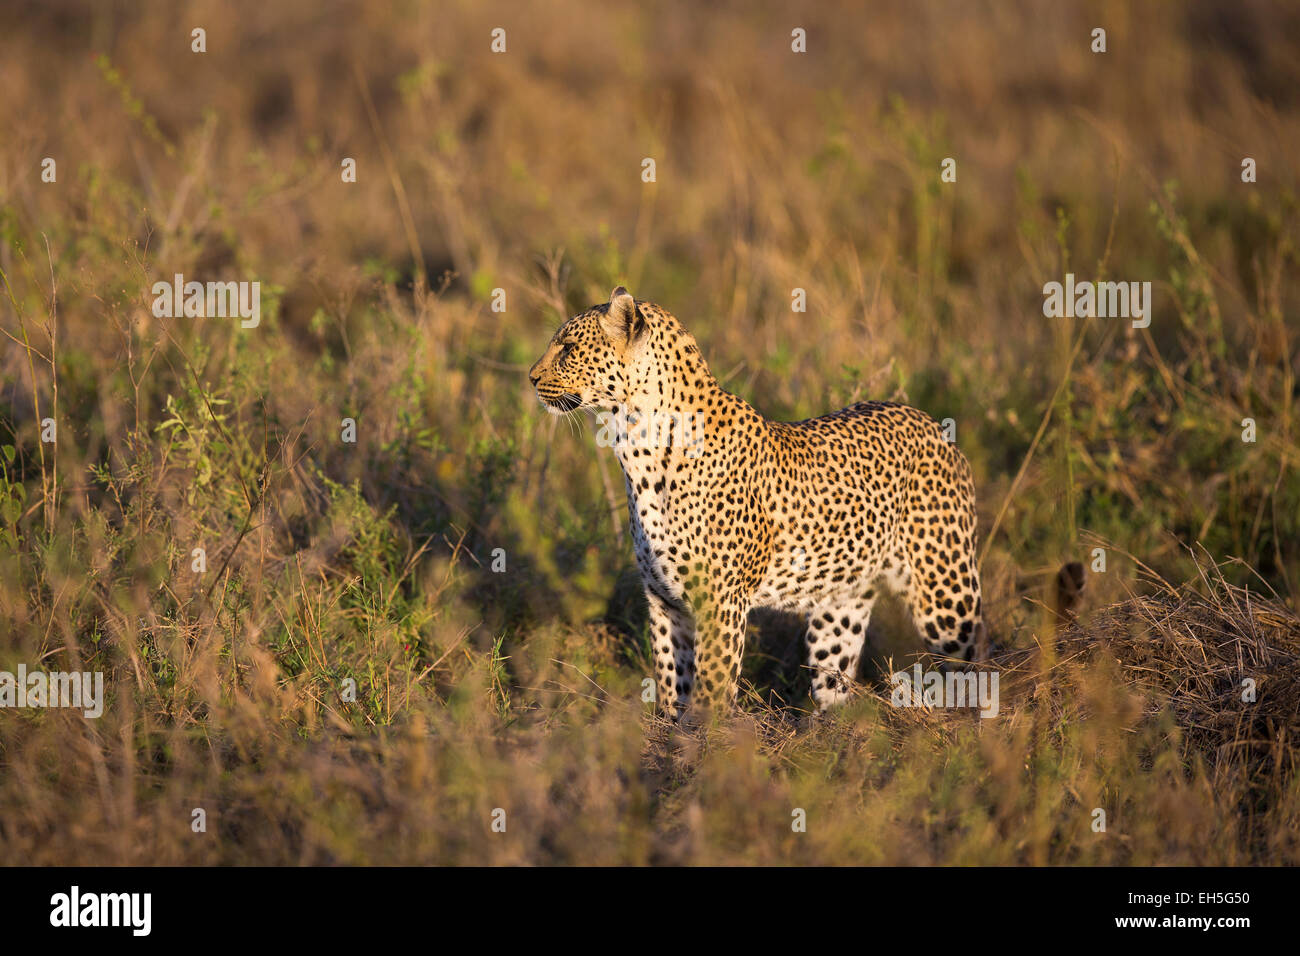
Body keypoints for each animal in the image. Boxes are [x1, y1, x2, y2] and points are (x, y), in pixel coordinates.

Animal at [529, 287, 984, 720]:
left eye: (567, 348)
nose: (531, 378)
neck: (637, 446)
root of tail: (931, 422)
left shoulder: (721, 600)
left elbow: (711, 687)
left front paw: (705, 740)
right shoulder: (665, 600)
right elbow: (672, 679)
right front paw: (671, 734)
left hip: (946, 589)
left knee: (974, 663)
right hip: (841, 604)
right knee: (835, 684)